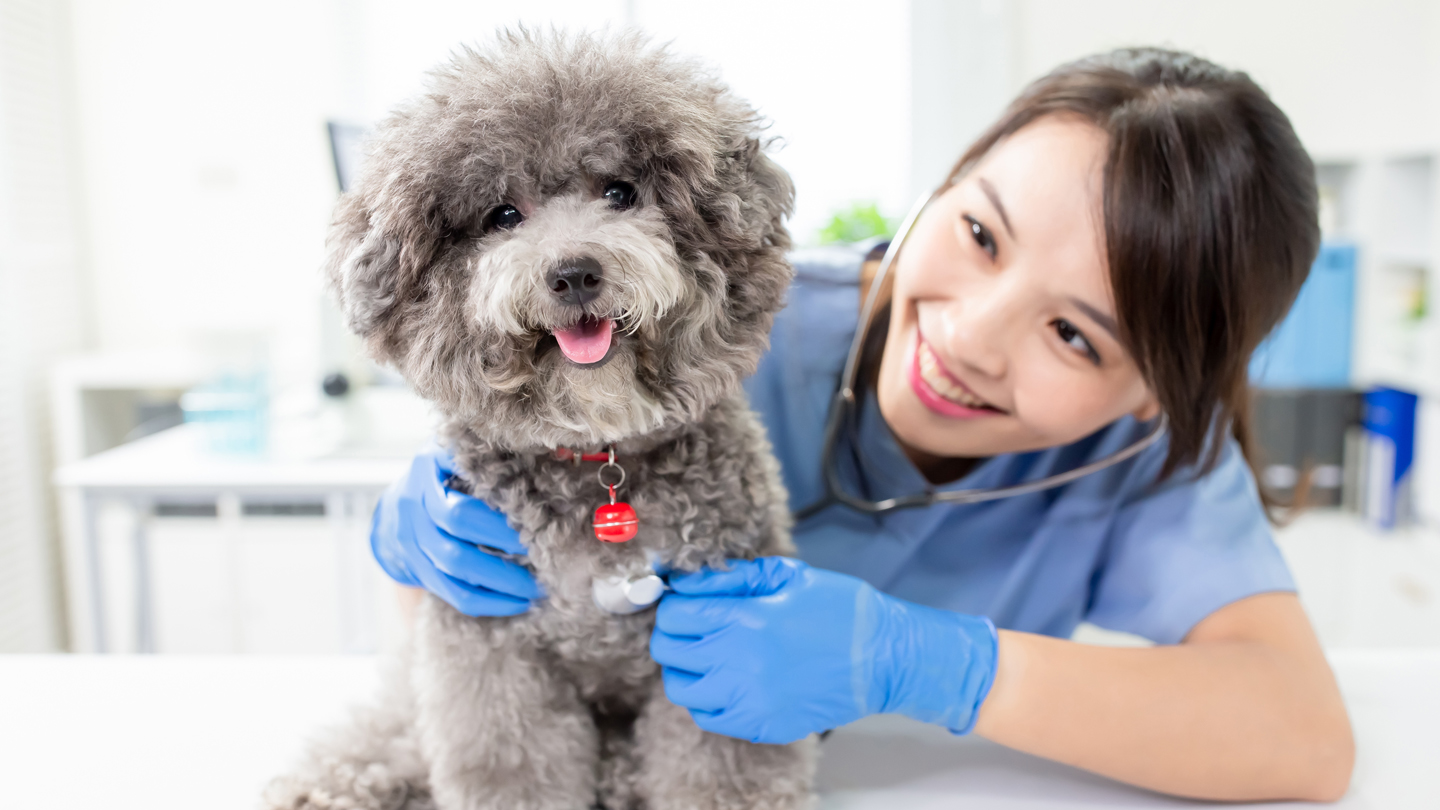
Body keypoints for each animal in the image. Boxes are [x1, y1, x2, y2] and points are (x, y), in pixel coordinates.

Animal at [264, 29, 817, 807]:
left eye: (621, 192)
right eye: (502, 215)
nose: (575, 272)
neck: (597, 456)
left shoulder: (715, 636)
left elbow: (722, 762)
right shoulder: (489, 642)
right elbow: (509, 759)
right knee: (388, 730)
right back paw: (326, 784)